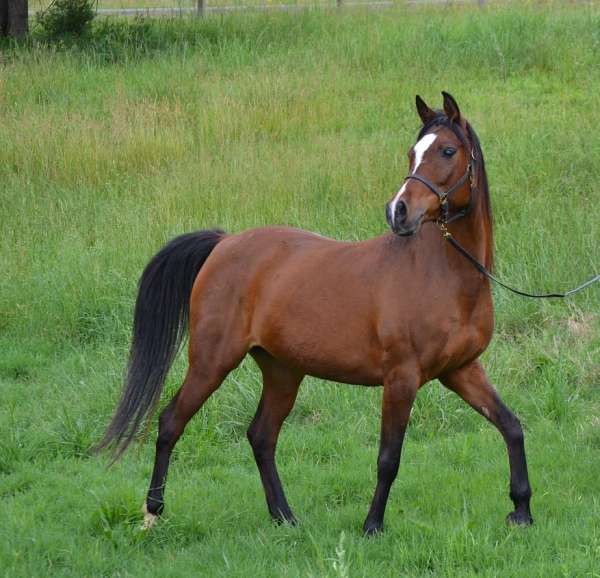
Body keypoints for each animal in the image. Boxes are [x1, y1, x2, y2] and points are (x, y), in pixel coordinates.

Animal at [99, 92, 536, 532]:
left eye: (447, 151)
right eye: (412, 153)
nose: (398, 212)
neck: (441, 274)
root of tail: (223, 243)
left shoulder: (461, 370)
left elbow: (511, 426)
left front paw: (521, 509)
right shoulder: (401, 378)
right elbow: (388, 458)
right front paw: (372, 525)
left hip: (282, 370)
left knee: (261, 436)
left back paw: (284, 516)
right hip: (212, 363)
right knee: (171, 421)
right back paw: (153, 511)